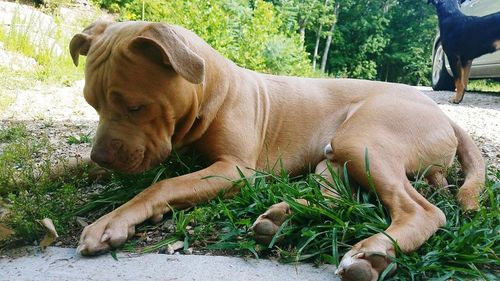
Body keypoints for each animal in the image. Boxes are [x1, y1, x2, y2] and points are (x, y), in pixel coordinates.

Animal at [69, 20, 484, 278]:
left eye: (135, 107)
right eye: (91, 104)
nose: (99, 157)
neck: (212, 90)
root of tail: (442, 113)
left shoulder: (234, 169)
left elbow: (162, 185)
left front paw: (111, 220)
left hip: (363, 142)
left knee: (424, 211)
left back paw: (373, 253)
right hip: (335, 154)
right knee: (335, 196)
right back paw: (282, 217)